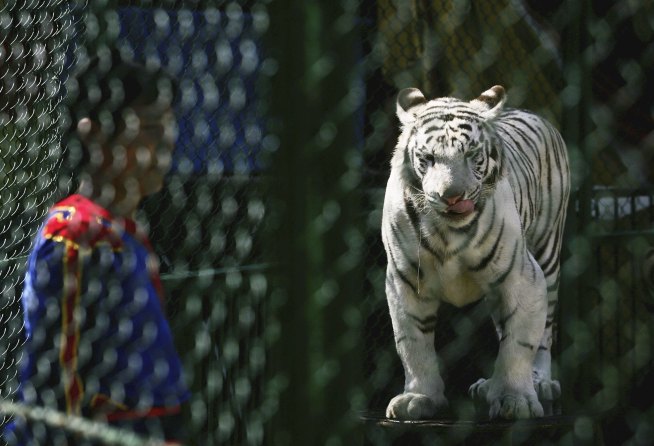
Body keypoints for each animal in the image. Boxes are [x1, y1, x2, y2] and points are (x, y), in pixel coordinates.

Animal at [381, 85, 570, 420]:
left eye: (471, 155)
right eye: (428, 158)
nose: (452, 197)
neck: (448, 232)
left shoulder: (523, 277)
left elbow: (519, 344)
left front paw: (516, 399)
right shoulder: (404, 281)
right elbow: (412, 343)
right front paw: (418, 397)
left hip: (548, 256)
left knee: (544, 334)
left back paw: (540, 383)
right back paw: (488, 388)